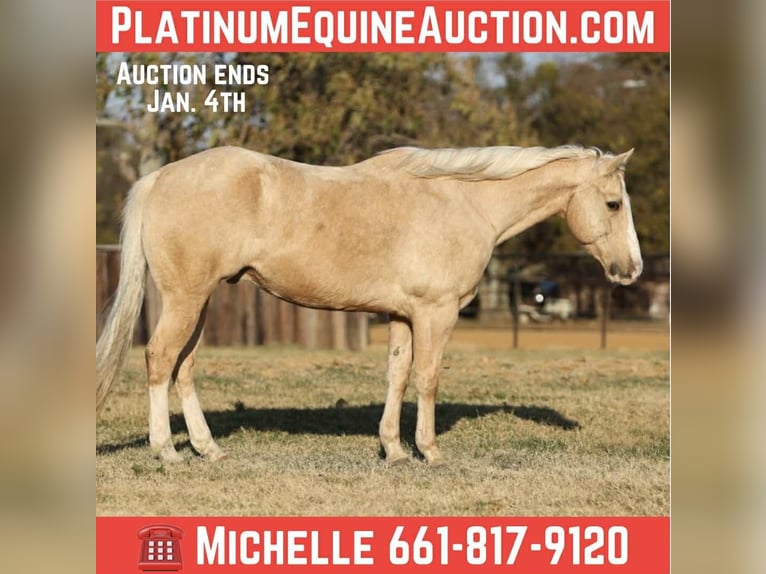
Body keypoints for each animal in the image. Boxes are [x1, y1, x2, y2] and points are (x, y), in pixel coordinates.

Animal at [96, 144, 642, 465]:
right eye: (613, 203)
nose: (631, 269)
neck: (462, 202)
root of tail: (158, 178)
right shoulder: (436, 313)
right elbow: (427, 378)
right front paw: (429, 451)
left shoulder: (403, 315)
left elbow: (397, 376)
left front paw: (393, 449)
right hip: (186, 299)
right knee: (159, 360)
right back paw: (166, 451)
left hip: (199, 300)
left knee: (183, 368)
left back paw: (207, 448)